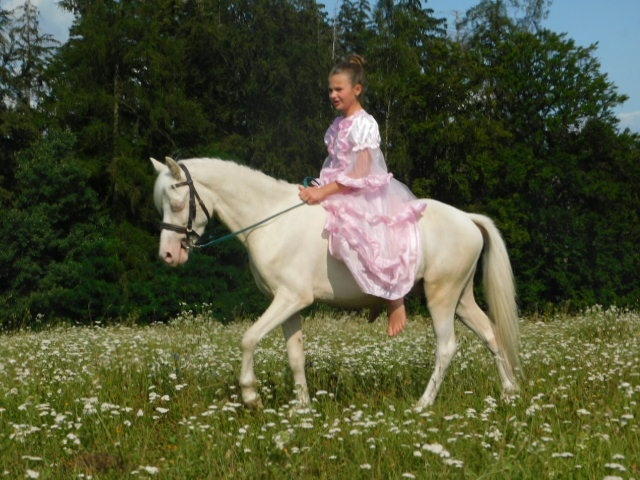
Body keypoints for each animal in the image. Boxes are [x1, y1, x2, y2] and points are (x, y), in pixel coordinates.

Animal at [151, 156, 520, 409]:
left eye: (178, 203)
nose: (167, 255)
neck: (270, 220)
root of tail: (467, 219)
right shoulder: (289, 305)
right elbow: (295, 355)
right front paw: (302, 408)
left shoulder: (290, 299)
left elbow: (248, 339)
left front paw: (251, 394)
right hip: (462, 298)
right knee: (491, 335)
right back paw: (509, 393)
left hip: (440, 297)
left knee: (446, 347)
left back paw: (423, 404)